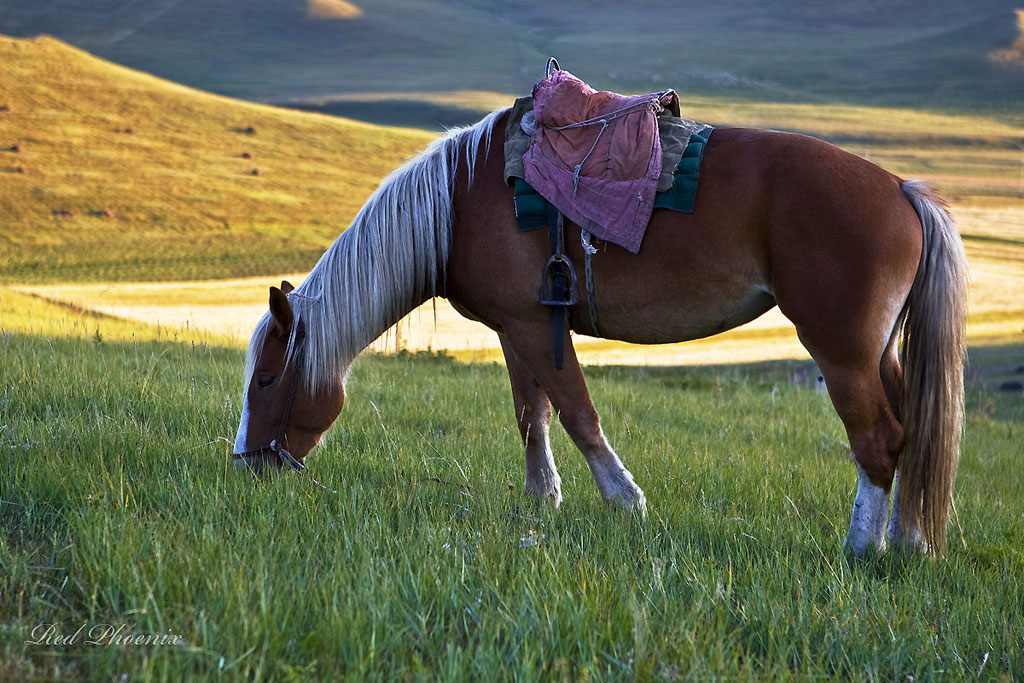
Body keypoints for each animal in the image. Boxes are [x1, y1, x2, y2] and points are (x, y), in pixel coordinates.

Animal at [232, 107, 966, 557]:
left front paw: (625, 500)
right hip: (878, 354)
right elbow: (532, 414)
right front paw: (542, 500)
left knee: (879, 441)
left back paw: (863, 547)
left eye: (267, 378)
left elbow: (578, 413)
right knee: (913, 434)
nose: (248, 466)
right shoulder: (517, 329)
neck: (461, 203)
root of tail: (901, 190)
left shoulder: (537, 327)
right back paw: (910, 541)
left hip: (841, 351)